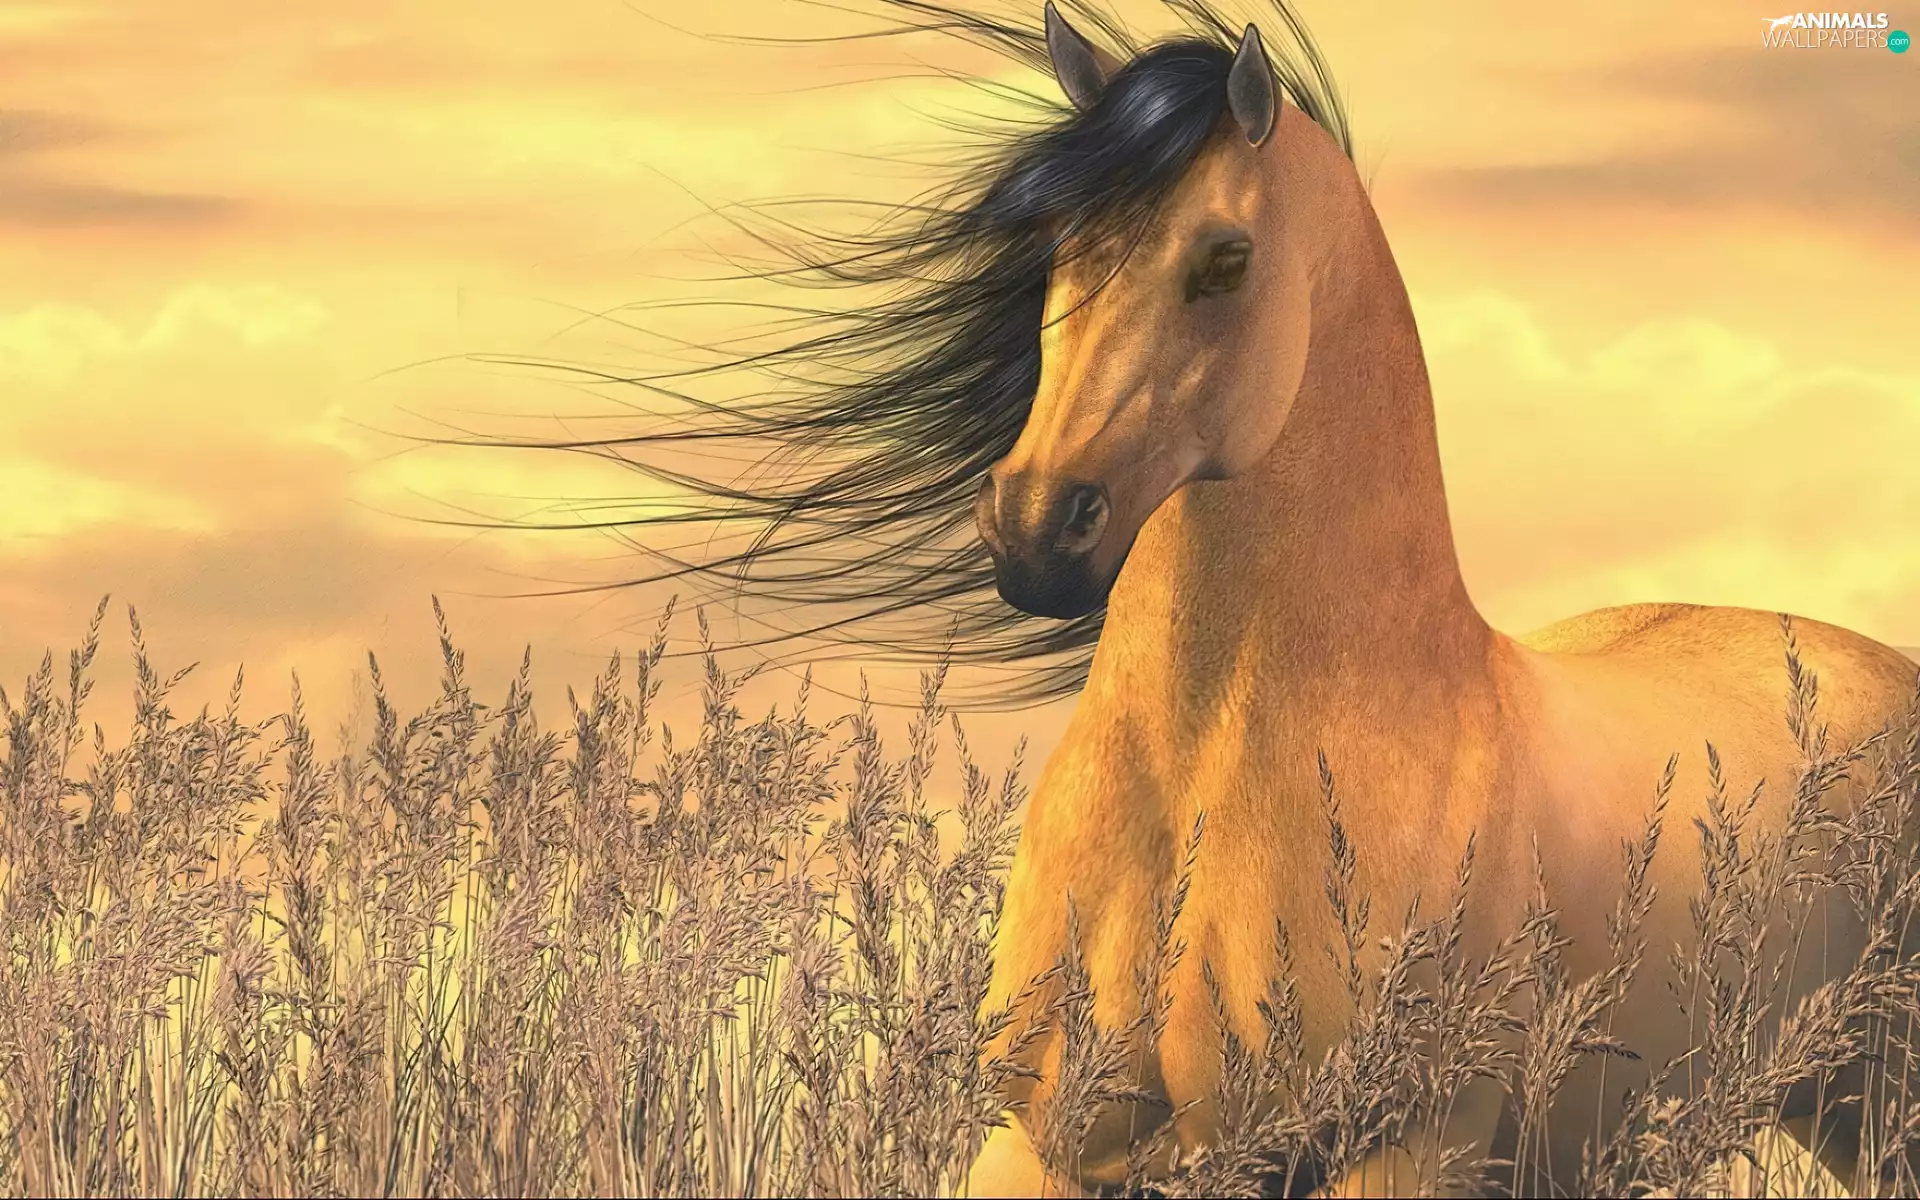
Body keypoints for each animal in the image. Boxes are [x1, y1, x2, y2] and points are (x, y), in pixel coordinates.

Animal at [952, 3, 1920, 1195]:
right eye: (1058, 247)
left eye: (1224, 261)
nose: (1037, 529)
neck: (1201, 779)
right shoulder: (1043, 1144)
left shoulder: (1403, 1140)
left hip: (1882, 1095)